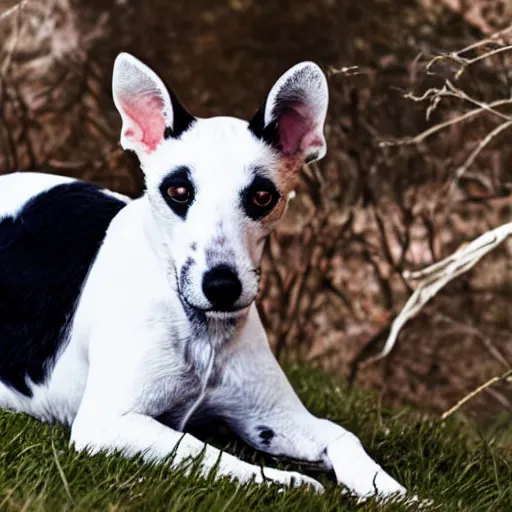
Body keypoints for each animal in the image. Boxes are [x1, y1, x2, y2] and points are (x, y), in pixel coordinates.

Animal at [0, 54, 408, 502]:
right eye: (178, 191)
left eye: (262, 197)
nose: (222, 286)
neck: (202, 330)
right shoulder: (107, 424)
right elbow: (202, 451)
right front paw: (287, 482)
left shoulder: (272, 415)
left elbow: (345, 438)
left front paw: (391, 490)